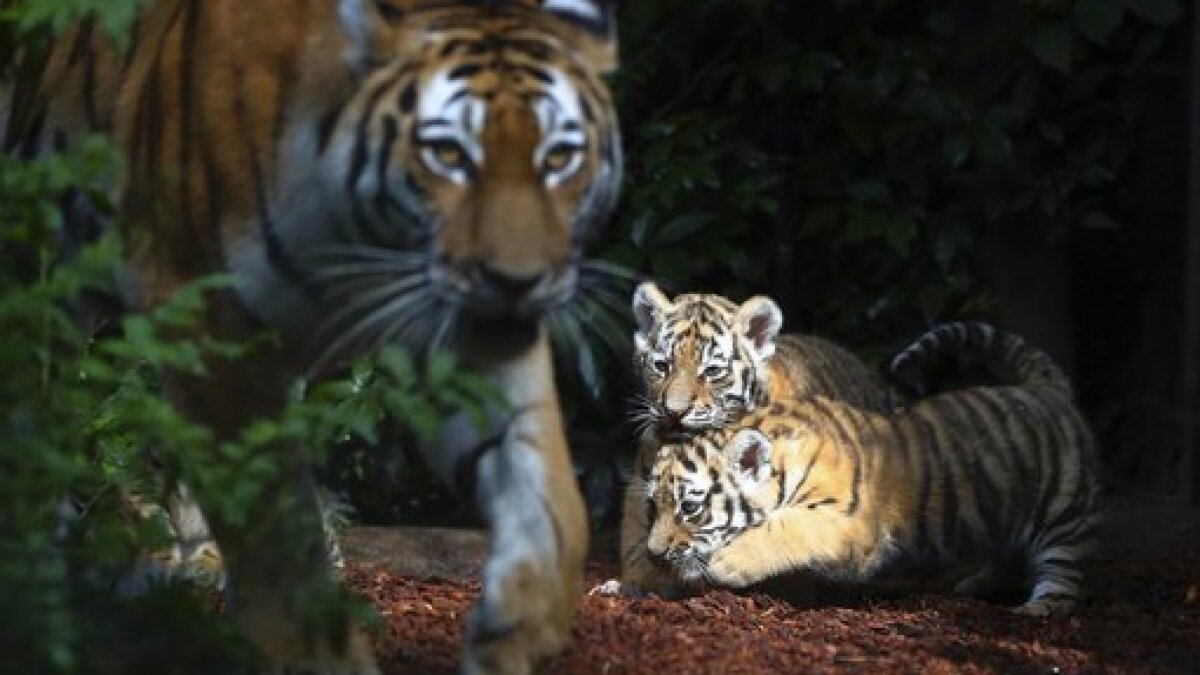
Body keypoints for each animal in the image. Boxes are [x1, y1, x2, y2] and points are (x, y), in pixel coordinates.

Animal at [9, 2, 624, 667]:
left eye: (559, 158)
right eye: (448, 155)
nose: (518, 280)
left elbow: (551, 498)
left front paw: (516, 625)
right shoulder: (205, 322)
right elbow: (274, 542)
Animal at [648, 326, 1099, 614]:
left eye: (690, 508)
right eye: (654, 506)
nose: (653, 554)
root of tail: (1045, 387)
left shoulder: (854, 526)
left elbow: (791, 527)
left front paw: (730, 561)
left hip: (1062, 512)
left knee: (1064, 574)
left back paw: (1037, 610)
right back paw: (976, 584)